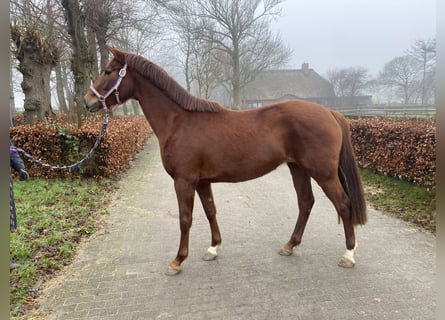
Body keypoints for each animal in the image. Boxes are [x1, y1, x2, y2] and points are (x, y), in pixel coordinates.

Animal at [82, 46, 364, 276]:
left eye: (108, 71)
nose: (88, 101)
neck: (179, 121)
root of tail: (330, 112)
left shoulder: (184, 181)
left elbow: (185, 218)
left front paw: (177, 261)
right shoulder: (202, 181)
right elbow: (210, 211)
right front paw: (212, 249)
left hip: (323, 173)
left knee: (343, 203)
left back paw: (349, 255)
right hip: (298, 169)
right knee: (306, 203)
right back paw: (289, 245)